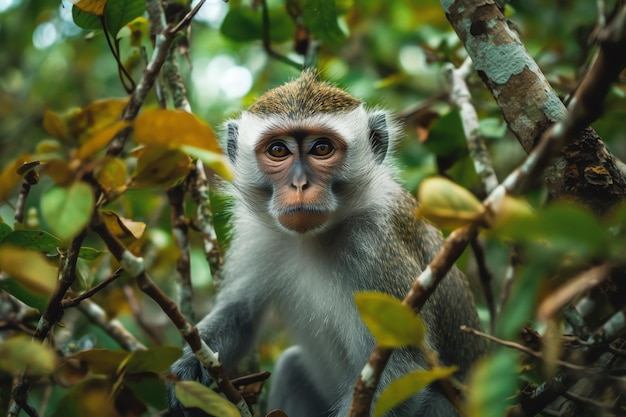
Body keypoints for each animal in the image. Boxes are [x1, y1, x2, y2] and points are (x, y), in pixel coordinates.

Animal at [167, 70, 482, 416]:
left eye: (321, 148)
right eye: (278, 150)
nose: (299, 184)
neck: (314, 238)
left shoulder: (379, 247)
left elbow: (403, 369)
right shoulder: (256, 233)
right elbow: (241, 313)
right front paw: (187, 369)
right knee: (290, 367)